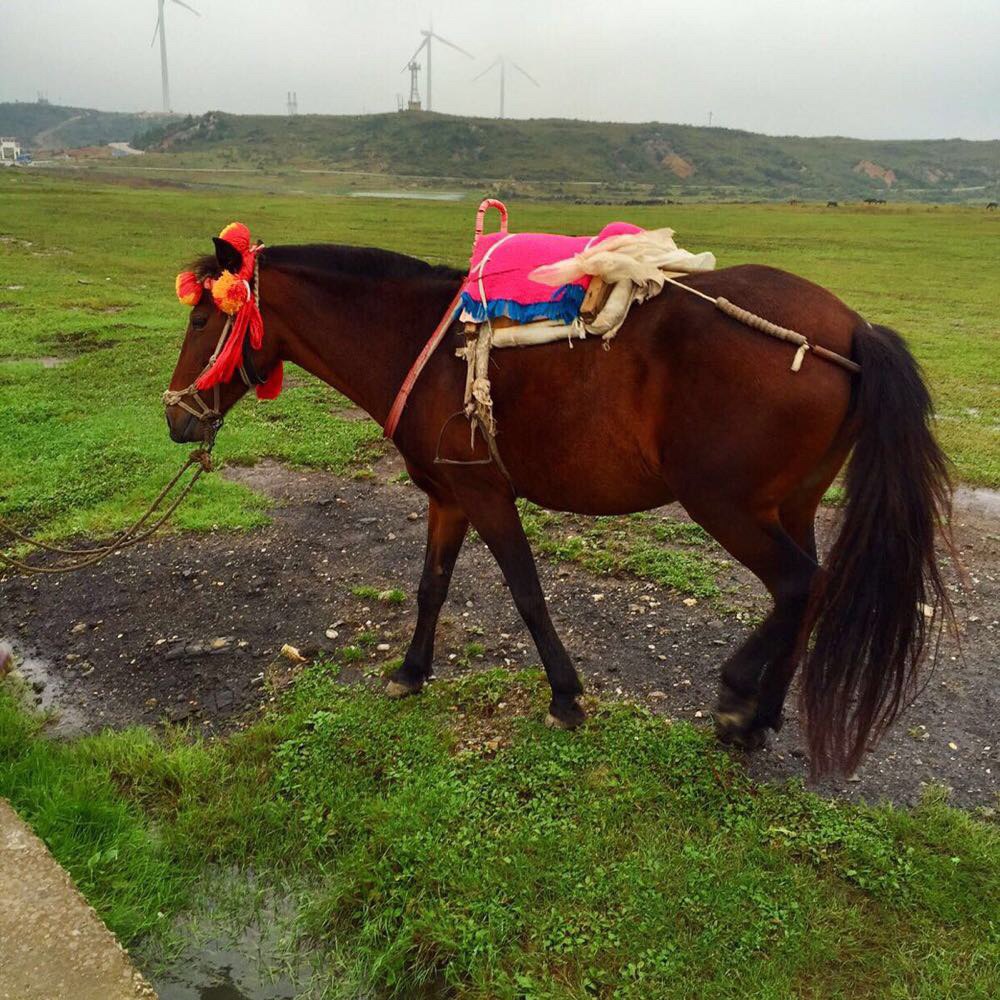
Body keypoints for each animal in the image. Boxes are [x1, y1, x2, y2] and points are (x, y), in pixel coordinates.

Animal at [170, 238, 952, 776]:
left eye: (206, 317)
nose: (175, 417)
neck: (415, 343)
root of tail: (850, 331)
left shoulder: (487, 494)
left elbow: (526, 592)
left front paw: (566, 697)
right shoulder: (449, 497)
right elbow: (431, 587)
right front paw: (411, 672)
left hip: (726, 505)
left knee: (797, 584)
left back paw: (737, 702)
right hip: (788, 505)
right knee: (811, 591)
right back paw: (764, 715)